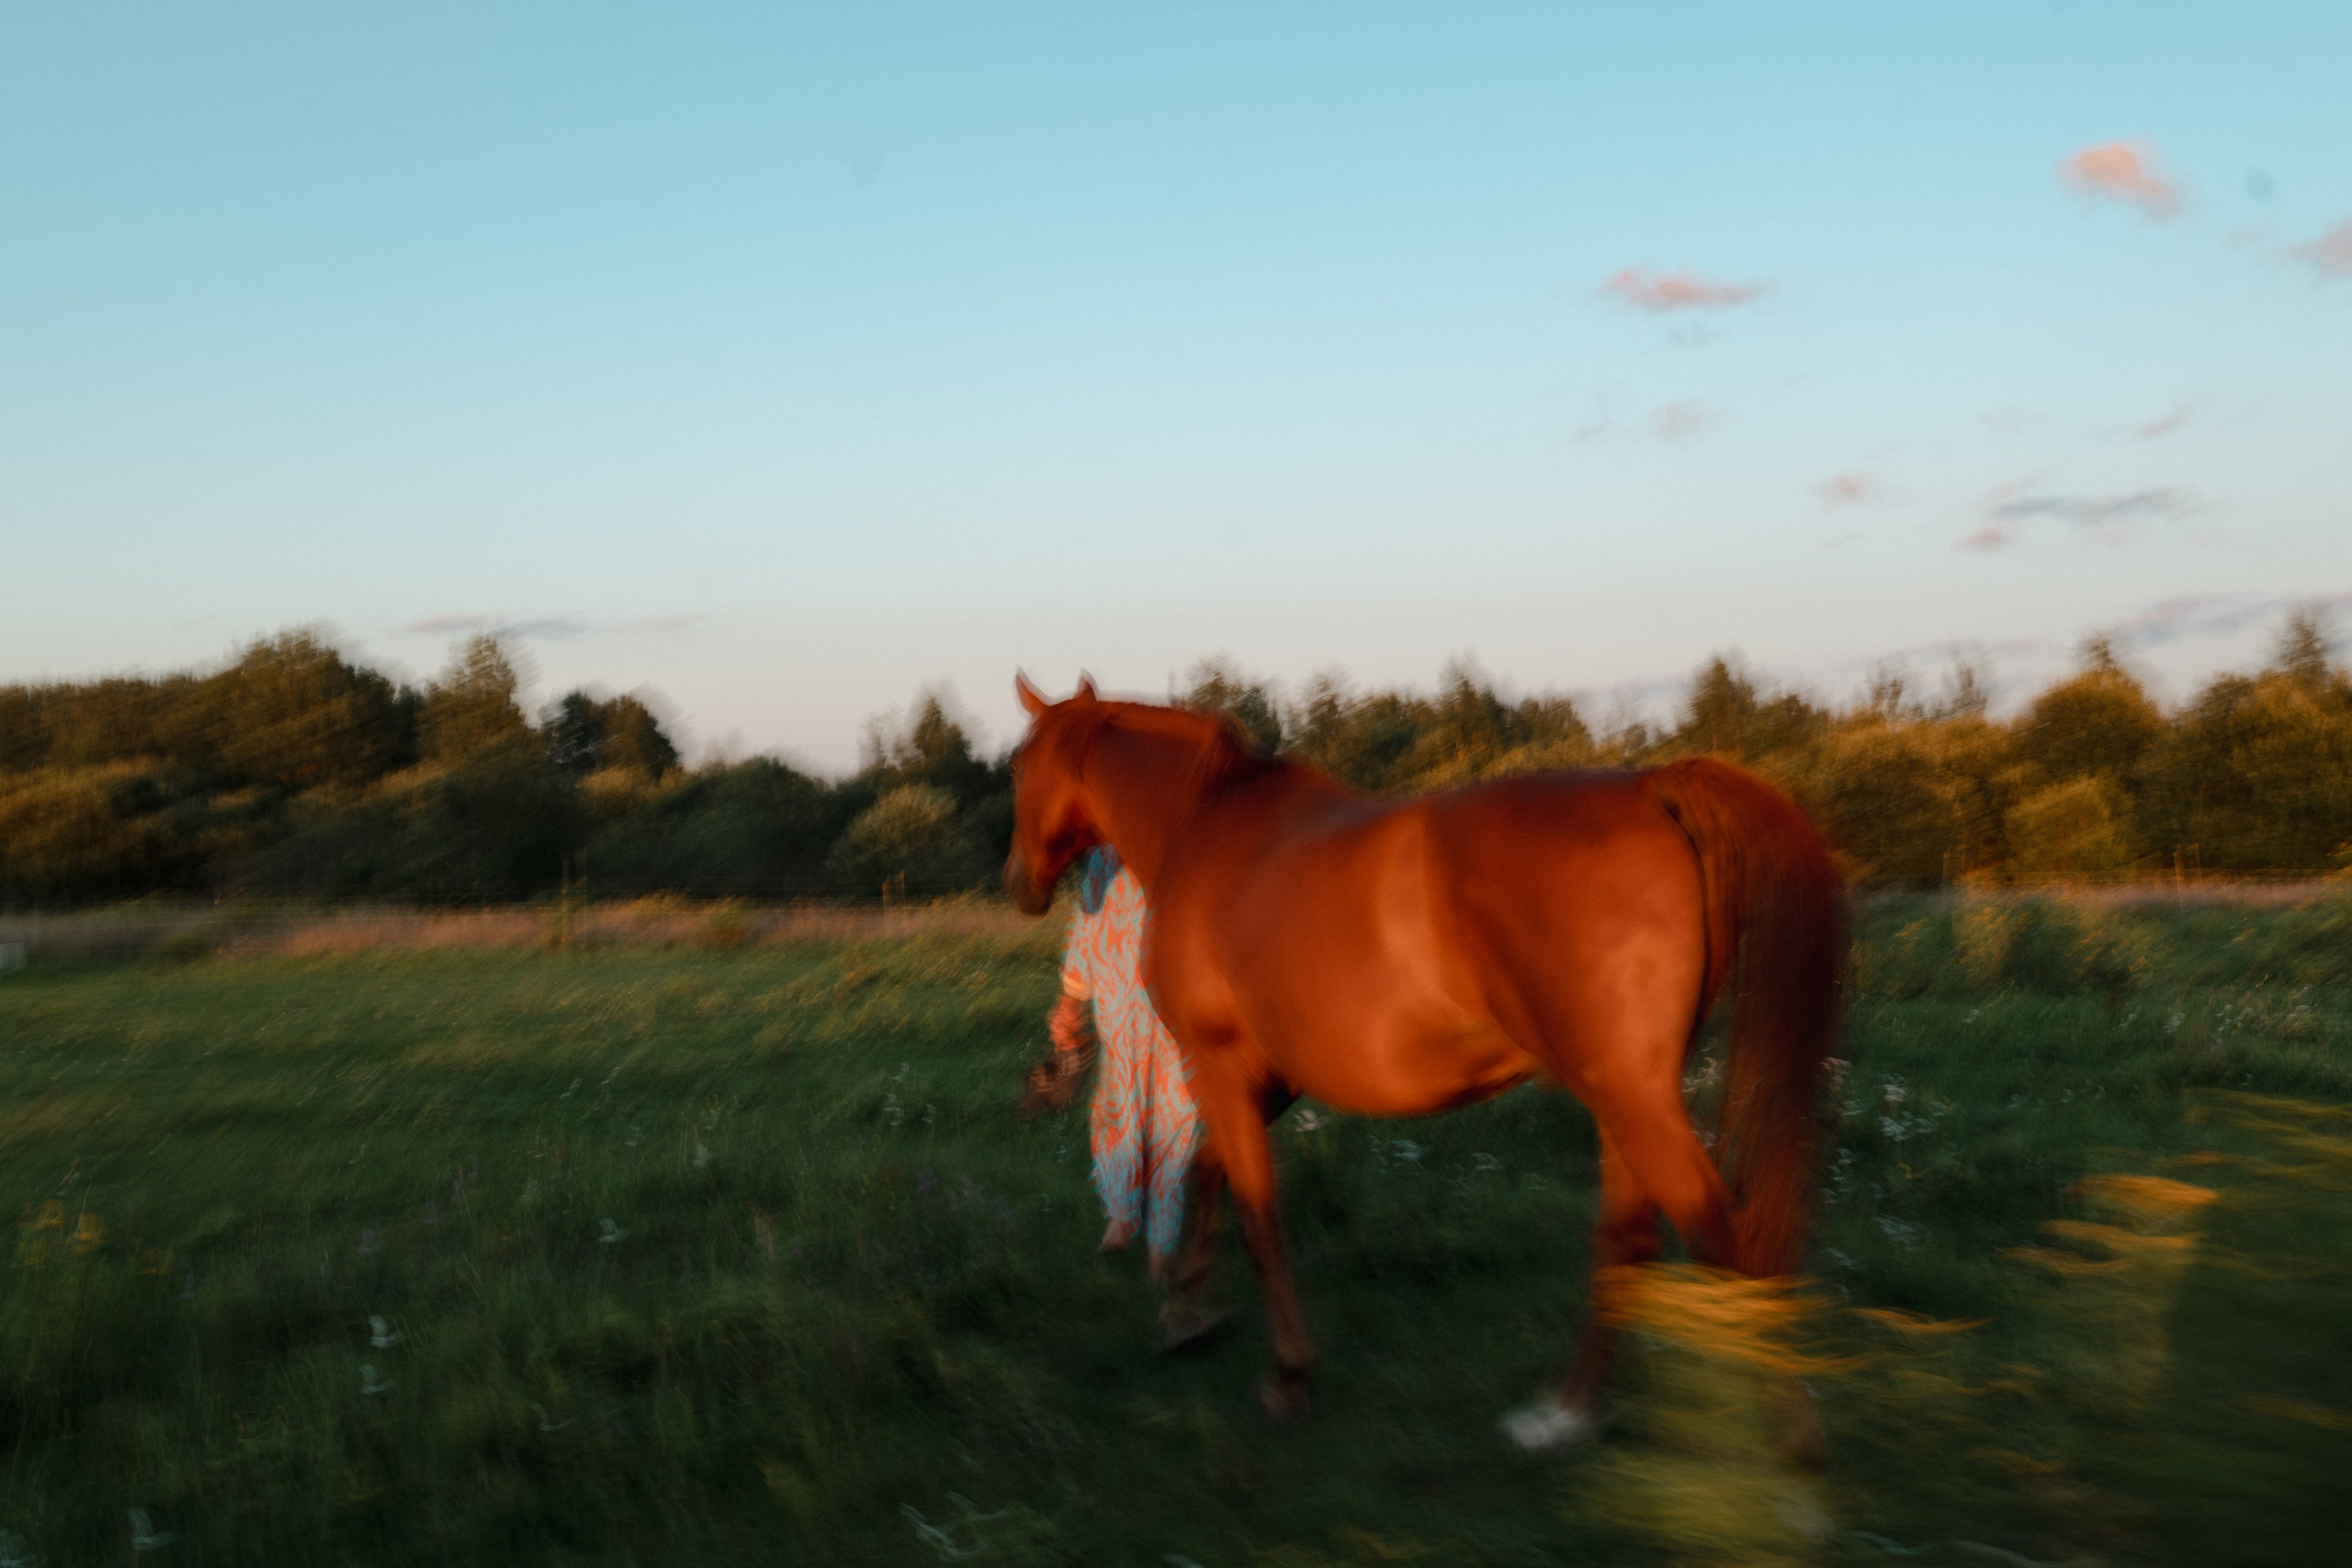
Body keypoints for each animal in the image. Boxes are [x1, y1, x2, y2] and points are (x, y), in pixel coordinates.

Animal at [1002, 675, 1846, 1451]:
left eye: (1018, 766)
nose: (1017, 883)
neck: (1206, 826)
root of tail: (1651, 789)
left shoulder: (1223, 1067)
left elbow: (1256, 1213)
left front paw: (1288, 1373)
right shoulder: (1267, 1078)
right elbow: (1209, 1171)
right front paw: (1187, 1309)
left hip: (1635, 1102)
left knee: (1731, 1245)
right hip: (1623, 1100)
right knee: (1630, 1240)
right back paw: (1564, 1413)